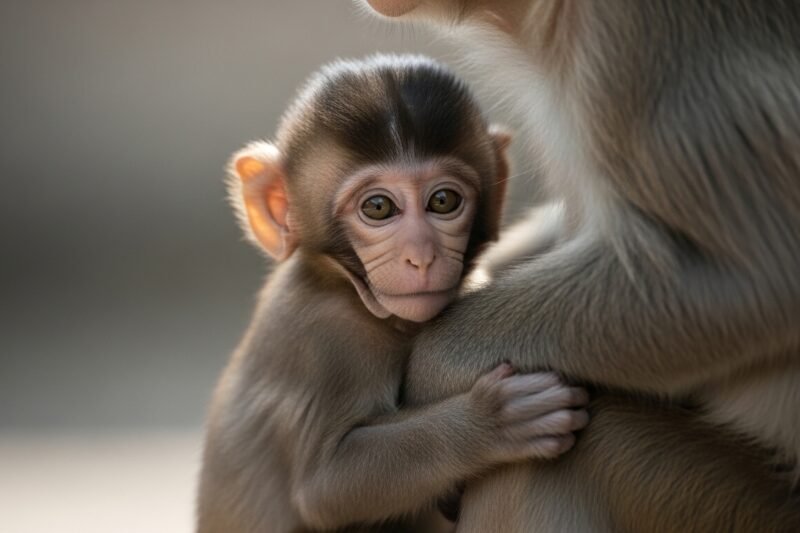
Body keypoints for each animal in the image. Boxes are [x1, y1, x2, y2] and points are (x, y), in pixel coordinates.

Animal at [196, 55, 595, 533]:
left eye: (443, 201)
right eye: (378, 207)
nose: (421, 256)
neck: (349, 291)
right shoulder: (327, 339)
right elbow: (325, 484)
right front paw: (491, 421)